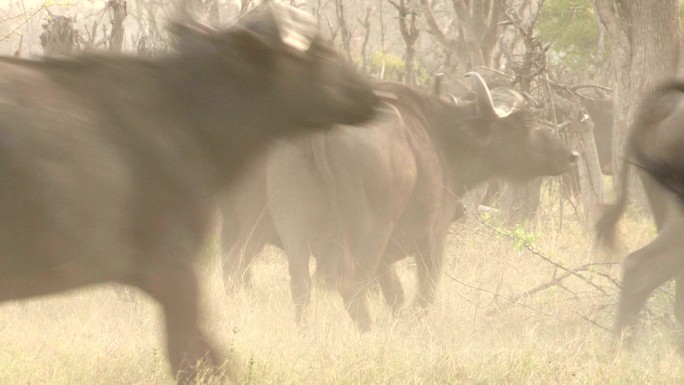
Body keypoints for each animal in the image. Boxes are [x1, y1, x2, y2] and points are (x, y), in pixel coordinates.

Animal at [220, 74, 576, 330]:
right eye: (524, 122)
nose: (570, 154)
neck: (439, 136)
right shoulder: (432, 238)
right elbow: (422, 295)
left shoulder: (384, 259)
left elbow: (395, 294)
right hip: (366, 230)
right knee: (348, 283)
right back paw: (367, 330)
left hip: (285, 226)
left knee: (289, 282)